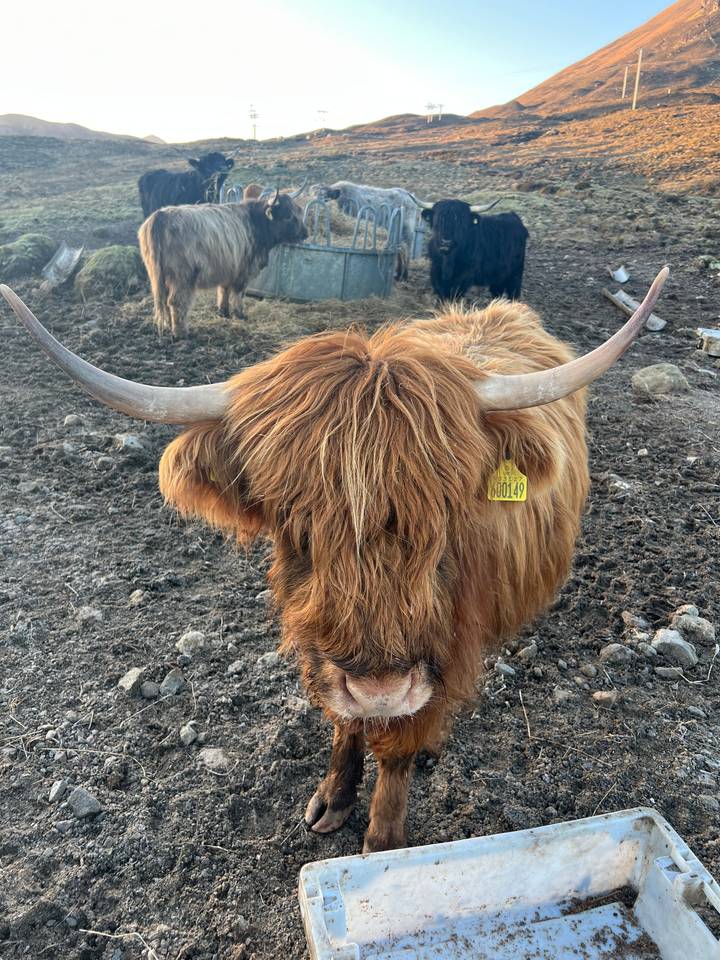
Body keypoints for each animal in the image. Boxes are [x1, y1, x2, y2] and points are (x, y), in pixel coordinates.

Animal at [0, 268, 668, 853]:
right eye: (296, 525)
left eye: (445, 515)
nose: (380, 689)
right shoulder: (325, 652)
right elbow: (346, 722)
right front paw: (333, 798)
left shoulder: (445, 646)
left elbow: (397, 743)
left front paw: (382, 840)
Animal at [138, 189, 307, 336]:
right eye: (288, 216)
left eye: (298, 211)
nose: (306, 233)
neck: (256, 224)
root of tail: (160, 216)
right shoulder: (243, 270)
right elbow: (238, 294)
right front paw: (240, 315)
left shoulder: (228, 267)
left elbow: (223, 290)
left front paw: (223, 312)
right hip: (182, 276)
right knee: (176, 301)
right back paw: (181, 332)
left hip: (159, 276)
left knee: (164, 301)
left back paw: (169, 326)